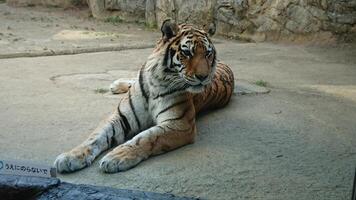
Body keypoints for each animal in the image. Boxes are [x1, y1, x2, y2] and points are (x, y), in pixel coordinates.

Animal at [54, 19, 235, 173]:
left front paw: (116, 157)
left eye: (207, 54)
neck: (157, 80)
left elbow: (147, 137)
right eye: (187, 53)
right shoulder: (121, 116)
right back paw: (116, 85)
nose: (204, 77)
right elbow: (95, 137)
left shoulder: (180, 124)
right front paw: (71, 156)